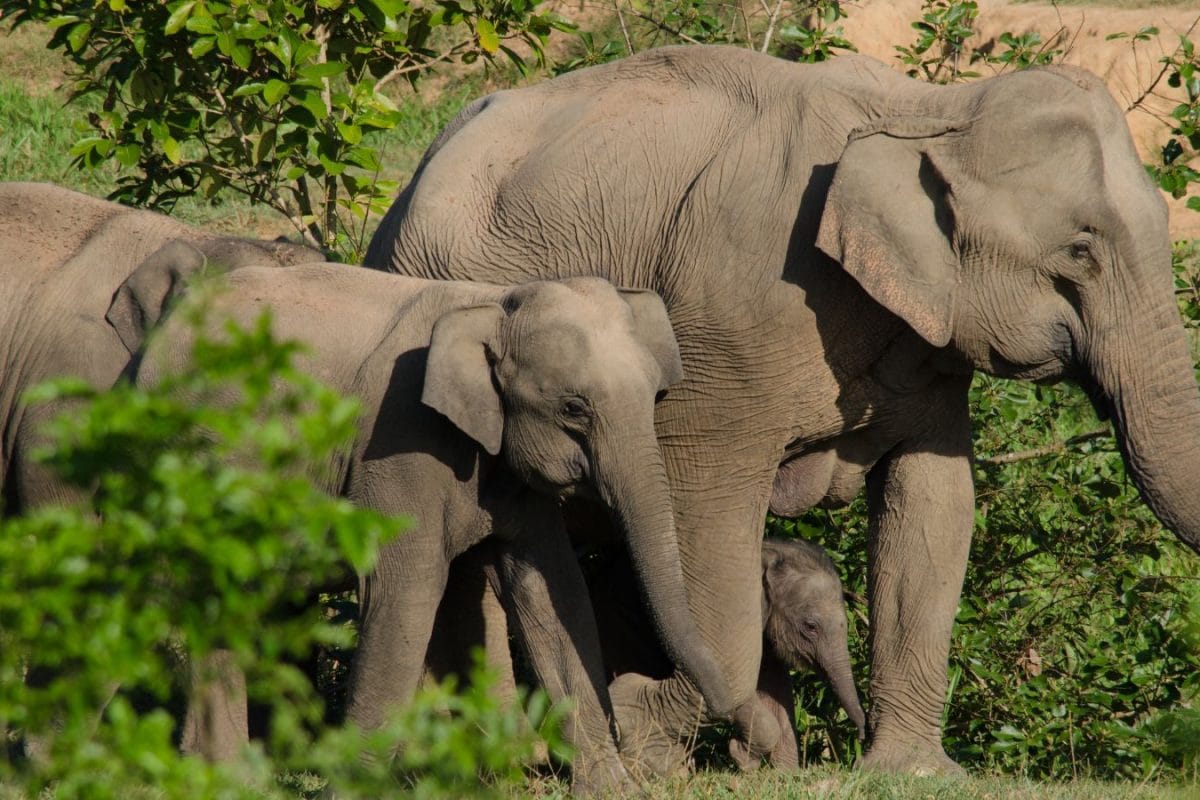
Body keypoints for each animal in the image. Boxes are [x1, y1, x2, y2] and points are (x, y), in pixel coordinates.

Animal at [134, 265, 732, 792]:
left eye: (655, 395)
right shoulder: (401, 441)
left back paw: (225, 776)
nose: (730, 707)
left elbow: (552, 592)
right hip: (187, 467)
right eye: (573, 408)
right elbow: (407, 590)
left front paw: (611, 789)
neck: (493, 303)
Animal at [363, 45, 1200, 775]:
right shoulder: (731, 330)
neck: (930, 110)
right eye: (1081, 251)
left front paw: (915, 771)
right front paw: (647, 736)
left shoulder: (927, 349)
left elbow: (934, 507)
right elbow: (707, 513)